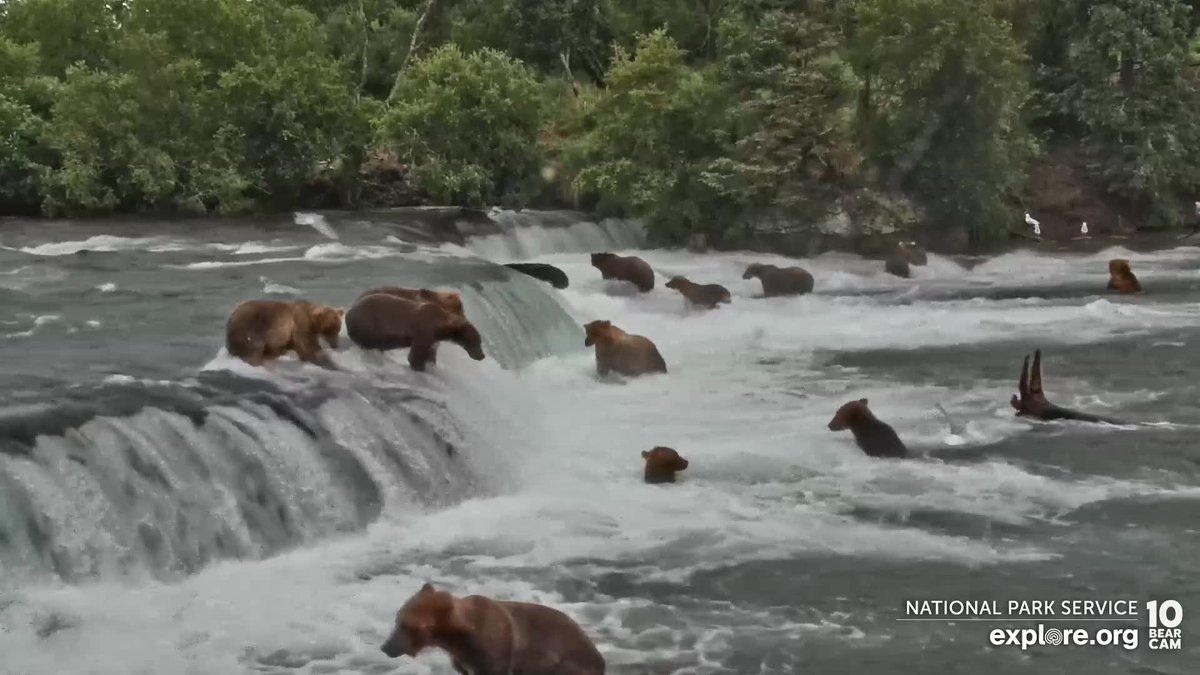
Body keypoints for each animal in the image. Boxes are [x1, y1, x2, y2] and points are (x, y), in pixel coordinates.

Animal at [345, 293, 485, 371]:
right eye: (477, 342)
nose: (482, 356)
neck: (440, 326)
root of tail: (348, 312)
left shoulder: (432, 339)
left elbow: (429, 353)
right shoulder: (423, 331)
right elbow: (415, 355)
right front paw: (419, 367)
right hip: (367, 324)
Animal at [380, 582, 606, 675]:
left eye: (405, 624)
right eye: (397, 619)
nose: (385, 647)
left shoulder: (495, 650)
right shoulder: (462, 659)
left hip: (565, 660)